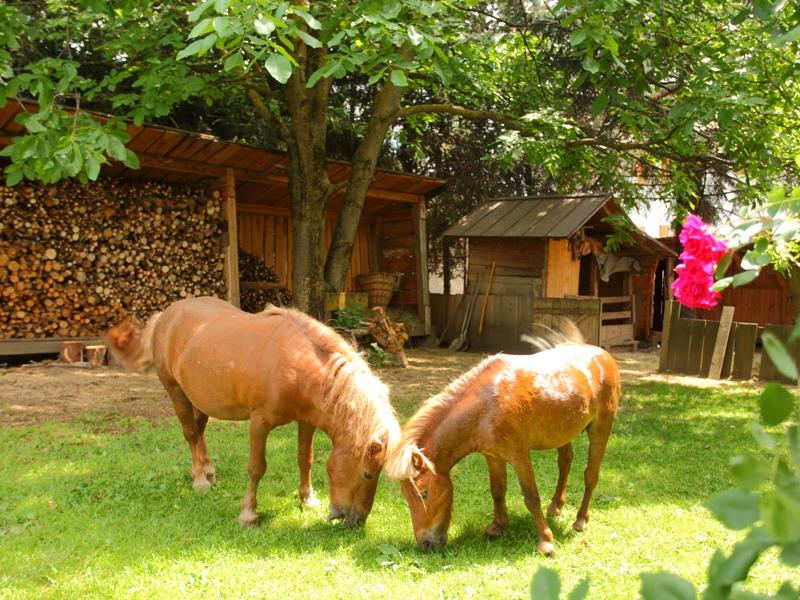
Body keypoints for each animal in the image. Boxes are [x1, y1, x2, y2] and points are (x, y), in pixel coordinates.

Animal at [106, 298, 400, 528]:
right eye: (368, 474)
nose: (357, 521)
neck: (296, 364)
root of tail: (167, 314)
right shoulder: (259, 423)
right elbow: (256, 468)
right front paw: (248, 514)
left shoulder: (307, 421)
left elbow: (304, 458)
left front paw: (307, 498)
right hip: (176, 392)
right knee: (190, 433)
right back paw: (200, 480)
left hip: (201, 397)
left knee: (199, 430)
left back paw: (208, 471)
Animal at [384, 340, 620, 556]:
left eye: (424, 494)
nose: (425, 545)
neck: (486, 407)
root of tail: (603, 355)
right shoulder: (493, 456)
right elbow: (497, 490)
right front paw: (498, 527)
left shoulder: (519, 456)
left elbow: (531, 497)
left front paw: (546, 542)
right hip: (563, 432)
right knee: (565, 462)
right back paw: (556, 507)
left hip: (601, 428)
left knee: (591, 475)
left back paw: (581, 520)